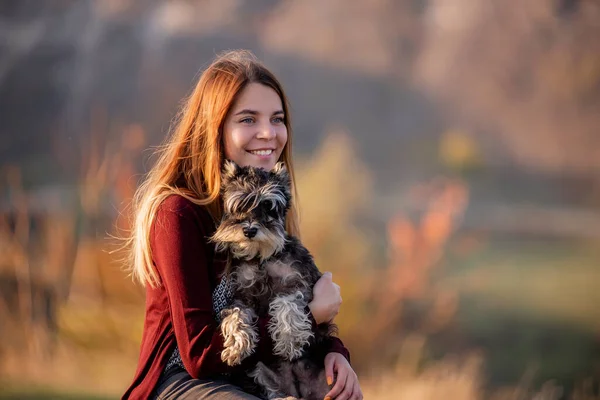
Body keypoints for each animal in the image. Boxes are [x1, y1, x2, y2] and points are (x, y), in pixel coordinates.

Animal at [210, 160, 332, 400]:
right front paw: (236, 345)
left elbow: (287, 303)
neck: (261, 259)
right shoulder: (242, 296)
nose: (249, 230)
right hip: (260, 374)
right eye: (238, 206)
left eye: (268, 206)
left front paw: (289, 340)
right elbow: (235, 314)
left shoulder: (300, 282)